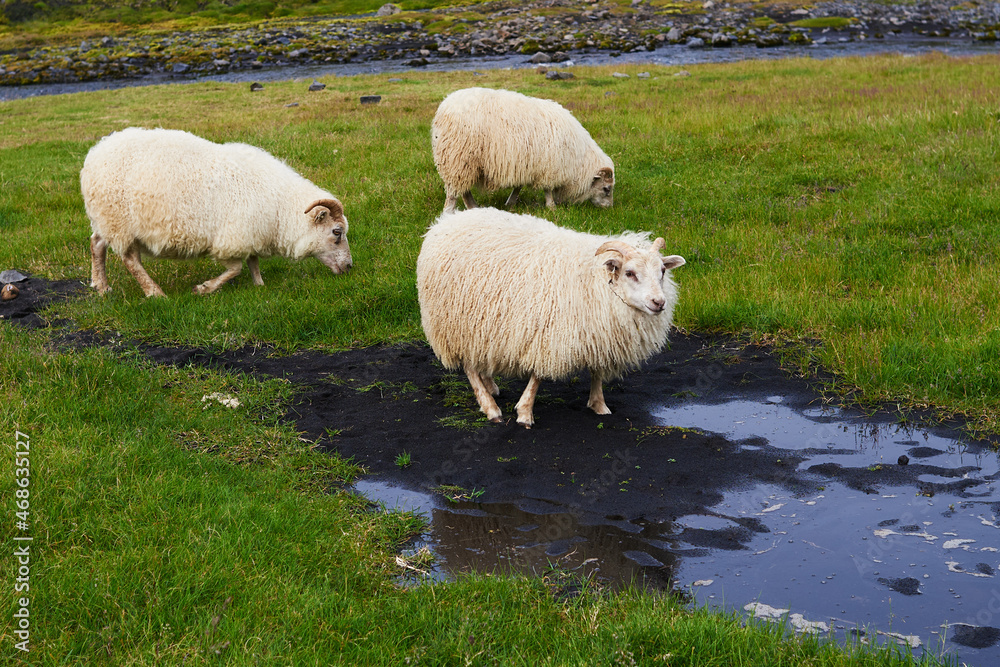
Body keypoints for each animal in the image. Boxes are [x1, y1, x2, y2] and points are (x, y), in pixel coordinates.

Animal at [81, 127, 352, 297]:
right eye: (337, 232)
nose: (349, 267)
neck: (280, 206)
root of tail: (96, 151)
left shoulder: (250, 232)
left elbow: (252, 261)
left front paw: (259, 285)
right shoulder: (231, 237)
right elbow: (235, 268)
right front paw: (204, 289)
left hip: (105, 219)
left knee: (96, 244)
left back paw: (101, 287)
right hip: (120, 221)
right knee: (131, 260)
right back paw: (154, 293)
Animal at [416, 207, 685, 428]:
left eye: (662, 271)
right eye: (630, 273)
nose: (659, 303)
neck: (594, 280)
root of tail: (447, 220)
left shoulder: (598, 332)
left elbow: (597, 371)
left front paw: (599, 405)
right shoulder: (549, 333)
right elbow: (538, 377)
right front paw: (525, 413)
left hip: (481, 326)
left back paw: (490, 386)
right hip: (455, 325)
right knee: (469, 367)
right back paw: (490, 408)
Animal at [431, 87, 615, 214]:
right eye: (606, 189)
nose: (609, 209)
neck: (579, 159)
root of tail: (444, 107)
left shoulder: (524, 164)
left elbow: (518, 186)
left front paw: (510, 203)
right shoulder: (549, 167)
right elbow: (547, 189)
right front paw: (551, 207)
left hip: (464, 162)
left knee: (463, 189)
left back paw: (474, 208)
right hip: (457, 157)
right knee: (453, 193)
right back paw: (449, 212)